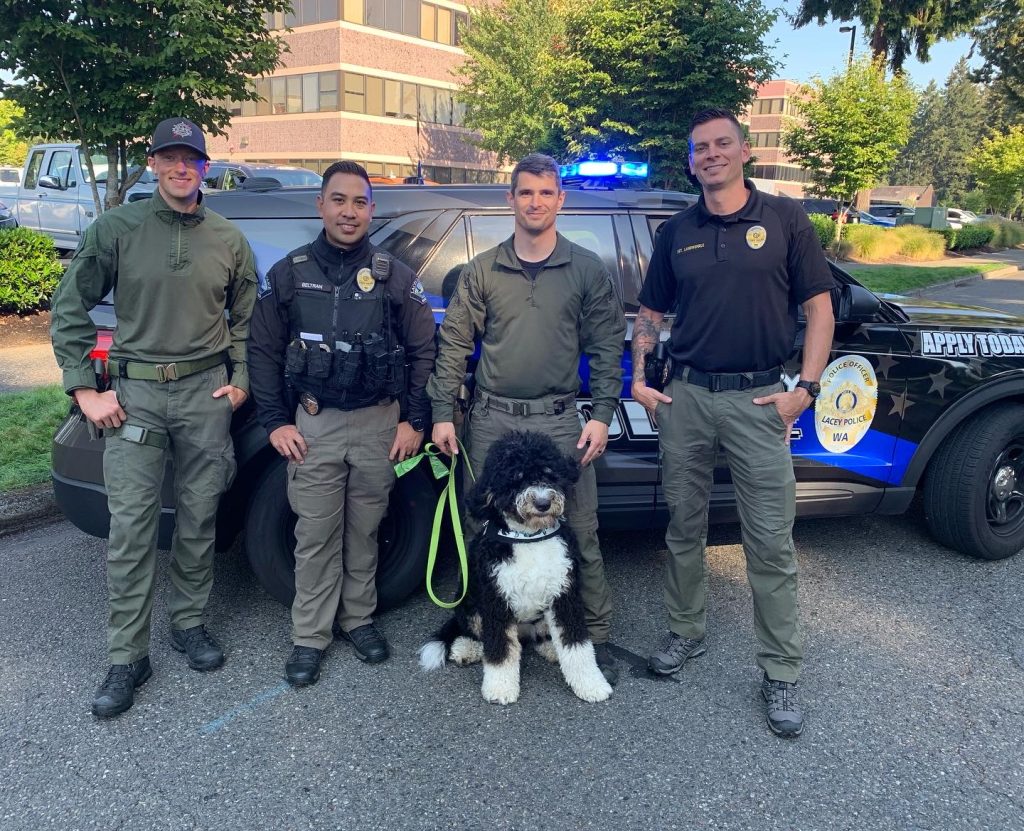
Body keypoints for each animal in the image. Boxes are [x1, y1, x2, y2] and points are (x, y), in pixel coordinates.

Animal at [413, 431, 606, 704]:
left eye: (549, 473)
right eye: (515, 478)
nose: (543, 503)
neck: (529, 537)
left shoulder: (564, 595)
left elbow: (576, 644)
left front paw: (591, 684)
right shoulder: (496, 600)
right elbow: (500, 649)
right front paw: (500, 688)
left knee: (541, 635)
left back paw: (550, 647)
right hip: (470, 603)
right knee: (474, 632)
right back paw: (468, 648)